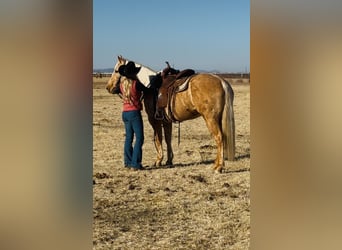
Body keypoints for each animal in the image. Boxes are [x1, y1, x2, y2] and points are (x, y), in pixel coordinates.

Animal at [107, 55, 235, 172]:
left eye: (116, 70)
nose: (108, 87)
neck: (149, 84)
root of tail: (221, 81)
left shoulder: (154, 120)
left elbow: (158, 139)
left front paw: (158, 160)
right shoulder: (166, 121)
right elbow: (168, 139)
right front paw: (169, 160)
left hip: (210, 118)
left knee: (219, 137)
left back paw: (218, 167)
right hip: (218, 118)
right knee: (222, 137)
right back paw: (216, 164)